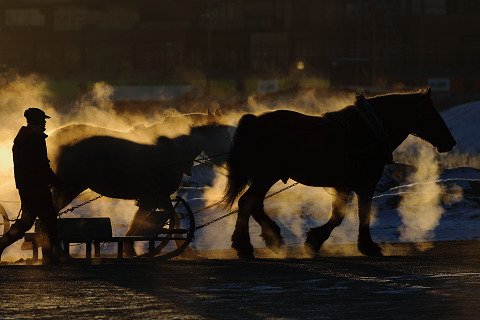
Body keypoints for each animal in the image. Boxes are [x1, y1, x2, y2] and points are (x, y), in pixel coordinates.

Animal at [53, 124, 232, 256]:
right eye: (225, 136)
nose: (229, 159)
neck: (174, 154)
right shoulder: (152, 198)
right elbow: (140, 223)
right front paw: (130, 250)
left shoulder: (161, 197)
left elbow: (173, 219)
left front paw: (184, 250)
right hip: (70, 188)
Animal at [225, 88, 458, 260]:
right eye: (431, 113)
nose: (451, 142)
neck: (370, 130)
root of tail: (255, 121)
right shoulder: (365, 184)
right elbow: (358, 215)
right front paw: (366, 246)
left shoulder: (343, 186)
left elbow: (338, 216)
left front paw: (315, 240)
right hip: (266, 175)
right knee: (247, 202)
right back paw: (245, 247)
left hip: (265, 176)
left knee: (254, 204)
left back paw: (272, 239)